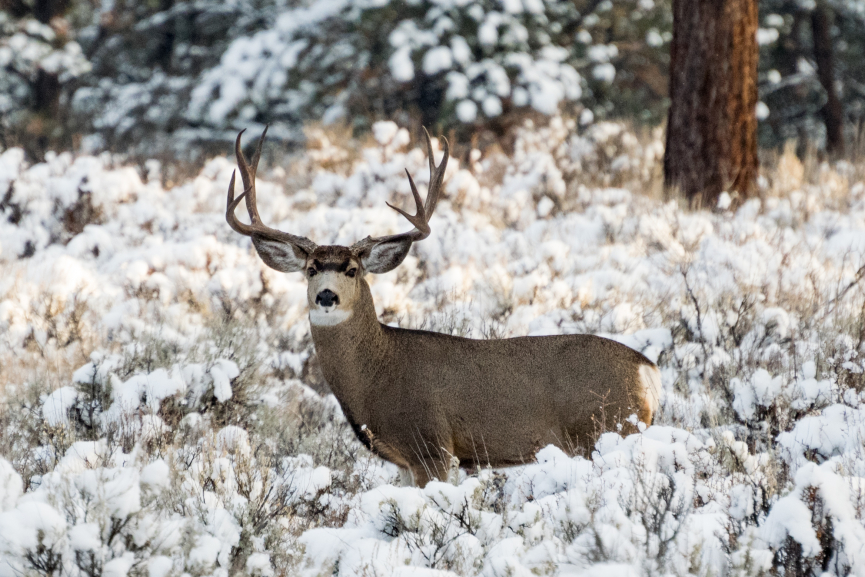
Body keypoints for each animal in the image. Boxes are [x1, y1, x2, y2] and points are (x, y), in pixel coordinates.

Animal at [226, 127, 660, 486]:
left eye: (351, 269)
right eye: (312, 269)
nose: (326, 296)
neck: (378, 373)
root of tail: (647, 369)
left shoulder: (431, 446)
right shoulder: (403, 462)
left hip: (607, 427)